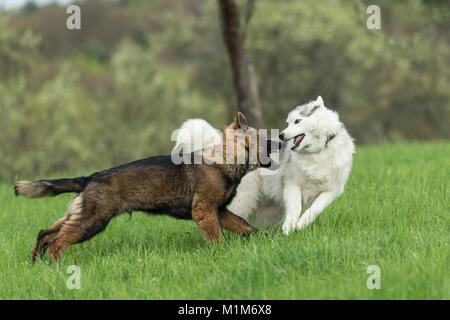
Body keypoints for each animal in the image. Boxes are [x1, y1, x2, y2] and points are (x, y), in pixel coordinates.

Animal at [174, 96, 354, 234]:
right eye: (288, 123)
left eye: (297, 121)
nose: (281, 136)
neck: (318, 150)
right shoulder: (292, 184)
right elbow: (295, 207)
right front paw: (289, 228)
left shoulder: (331, 191)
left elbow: (315, 209)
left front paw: (300, 224)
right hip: (243, 199)